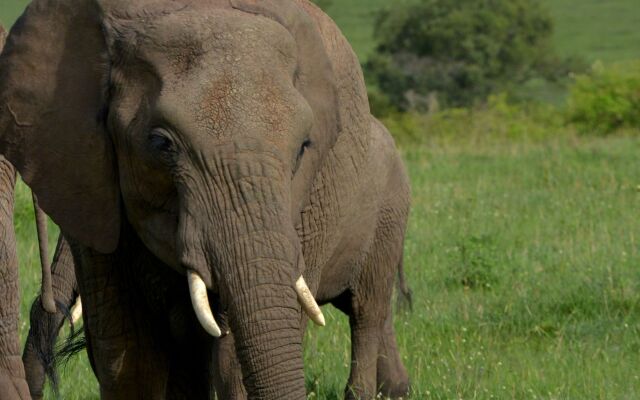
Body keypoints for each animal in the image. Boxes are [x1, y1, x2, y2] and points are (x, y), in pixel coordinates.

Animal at [0, 0, 410, 400]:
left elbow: (233, 355)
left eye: (303, 148)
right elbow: (130, 351)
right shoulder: (89, 175)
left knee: (367, 310)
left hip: (386, 214)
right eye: (161, 144)